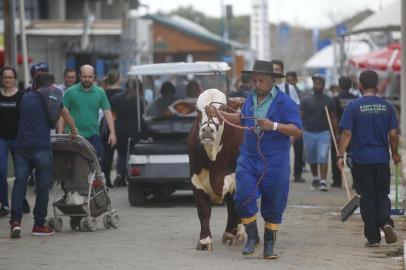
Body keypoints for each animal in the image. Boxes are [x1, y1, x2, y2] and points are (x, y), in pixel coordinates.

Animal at [183, 89, 244, 251]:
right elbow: (203, 210)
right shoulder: (195, 180)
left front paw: (230, 235)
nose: (207, 130)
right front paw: (204, 241)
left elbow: (234, 207)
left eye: (222, 109)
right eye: (198, 111)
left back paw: (239, 233)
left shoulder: (234, 179)